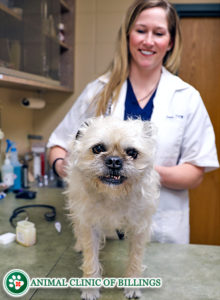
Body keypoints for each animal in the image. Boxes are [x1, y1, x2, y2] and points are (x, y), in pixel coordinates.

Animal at [65, 116, 160, 298]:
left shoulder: (139, 228)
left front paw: (132, 285)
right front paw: (90, 288)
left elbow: (135, 258)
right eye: (98, 148)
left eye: (132, 153)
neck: (113, 194)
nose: (114, 161)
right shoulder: (90, 226)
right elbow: (91, 259)